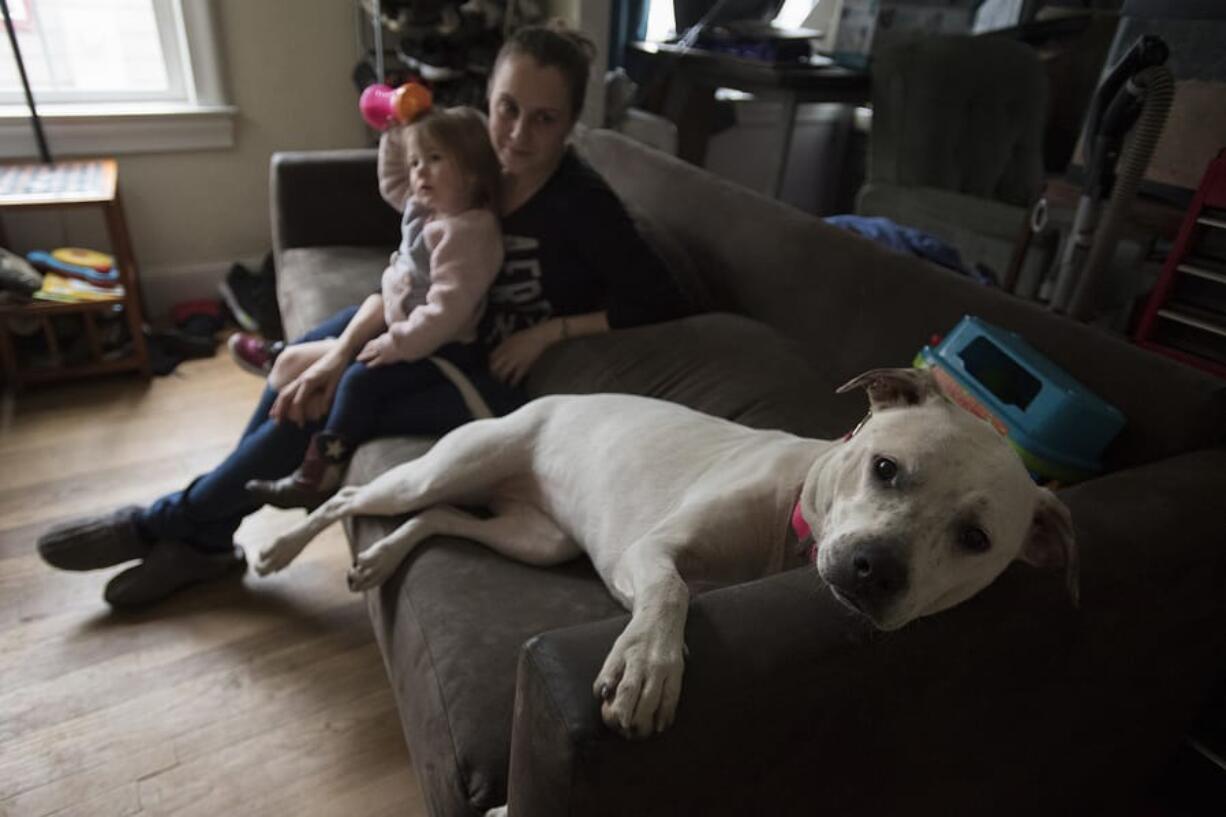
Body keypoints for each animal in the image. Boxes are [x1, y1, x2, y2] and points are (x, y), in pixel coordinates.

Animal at [256, 368, 1073, 736]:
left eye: (975, 539)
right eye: (886, 467)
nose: (875, 570)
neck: (791, 531)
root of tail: (541, 401)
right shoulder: (654, 552)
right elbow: (673, 593)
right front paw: (648, 669)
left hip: (534, 538)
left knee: (438, 520)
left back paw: (381, 558)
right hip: (440, 469)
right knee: (349, 498)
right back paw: (283, 548)